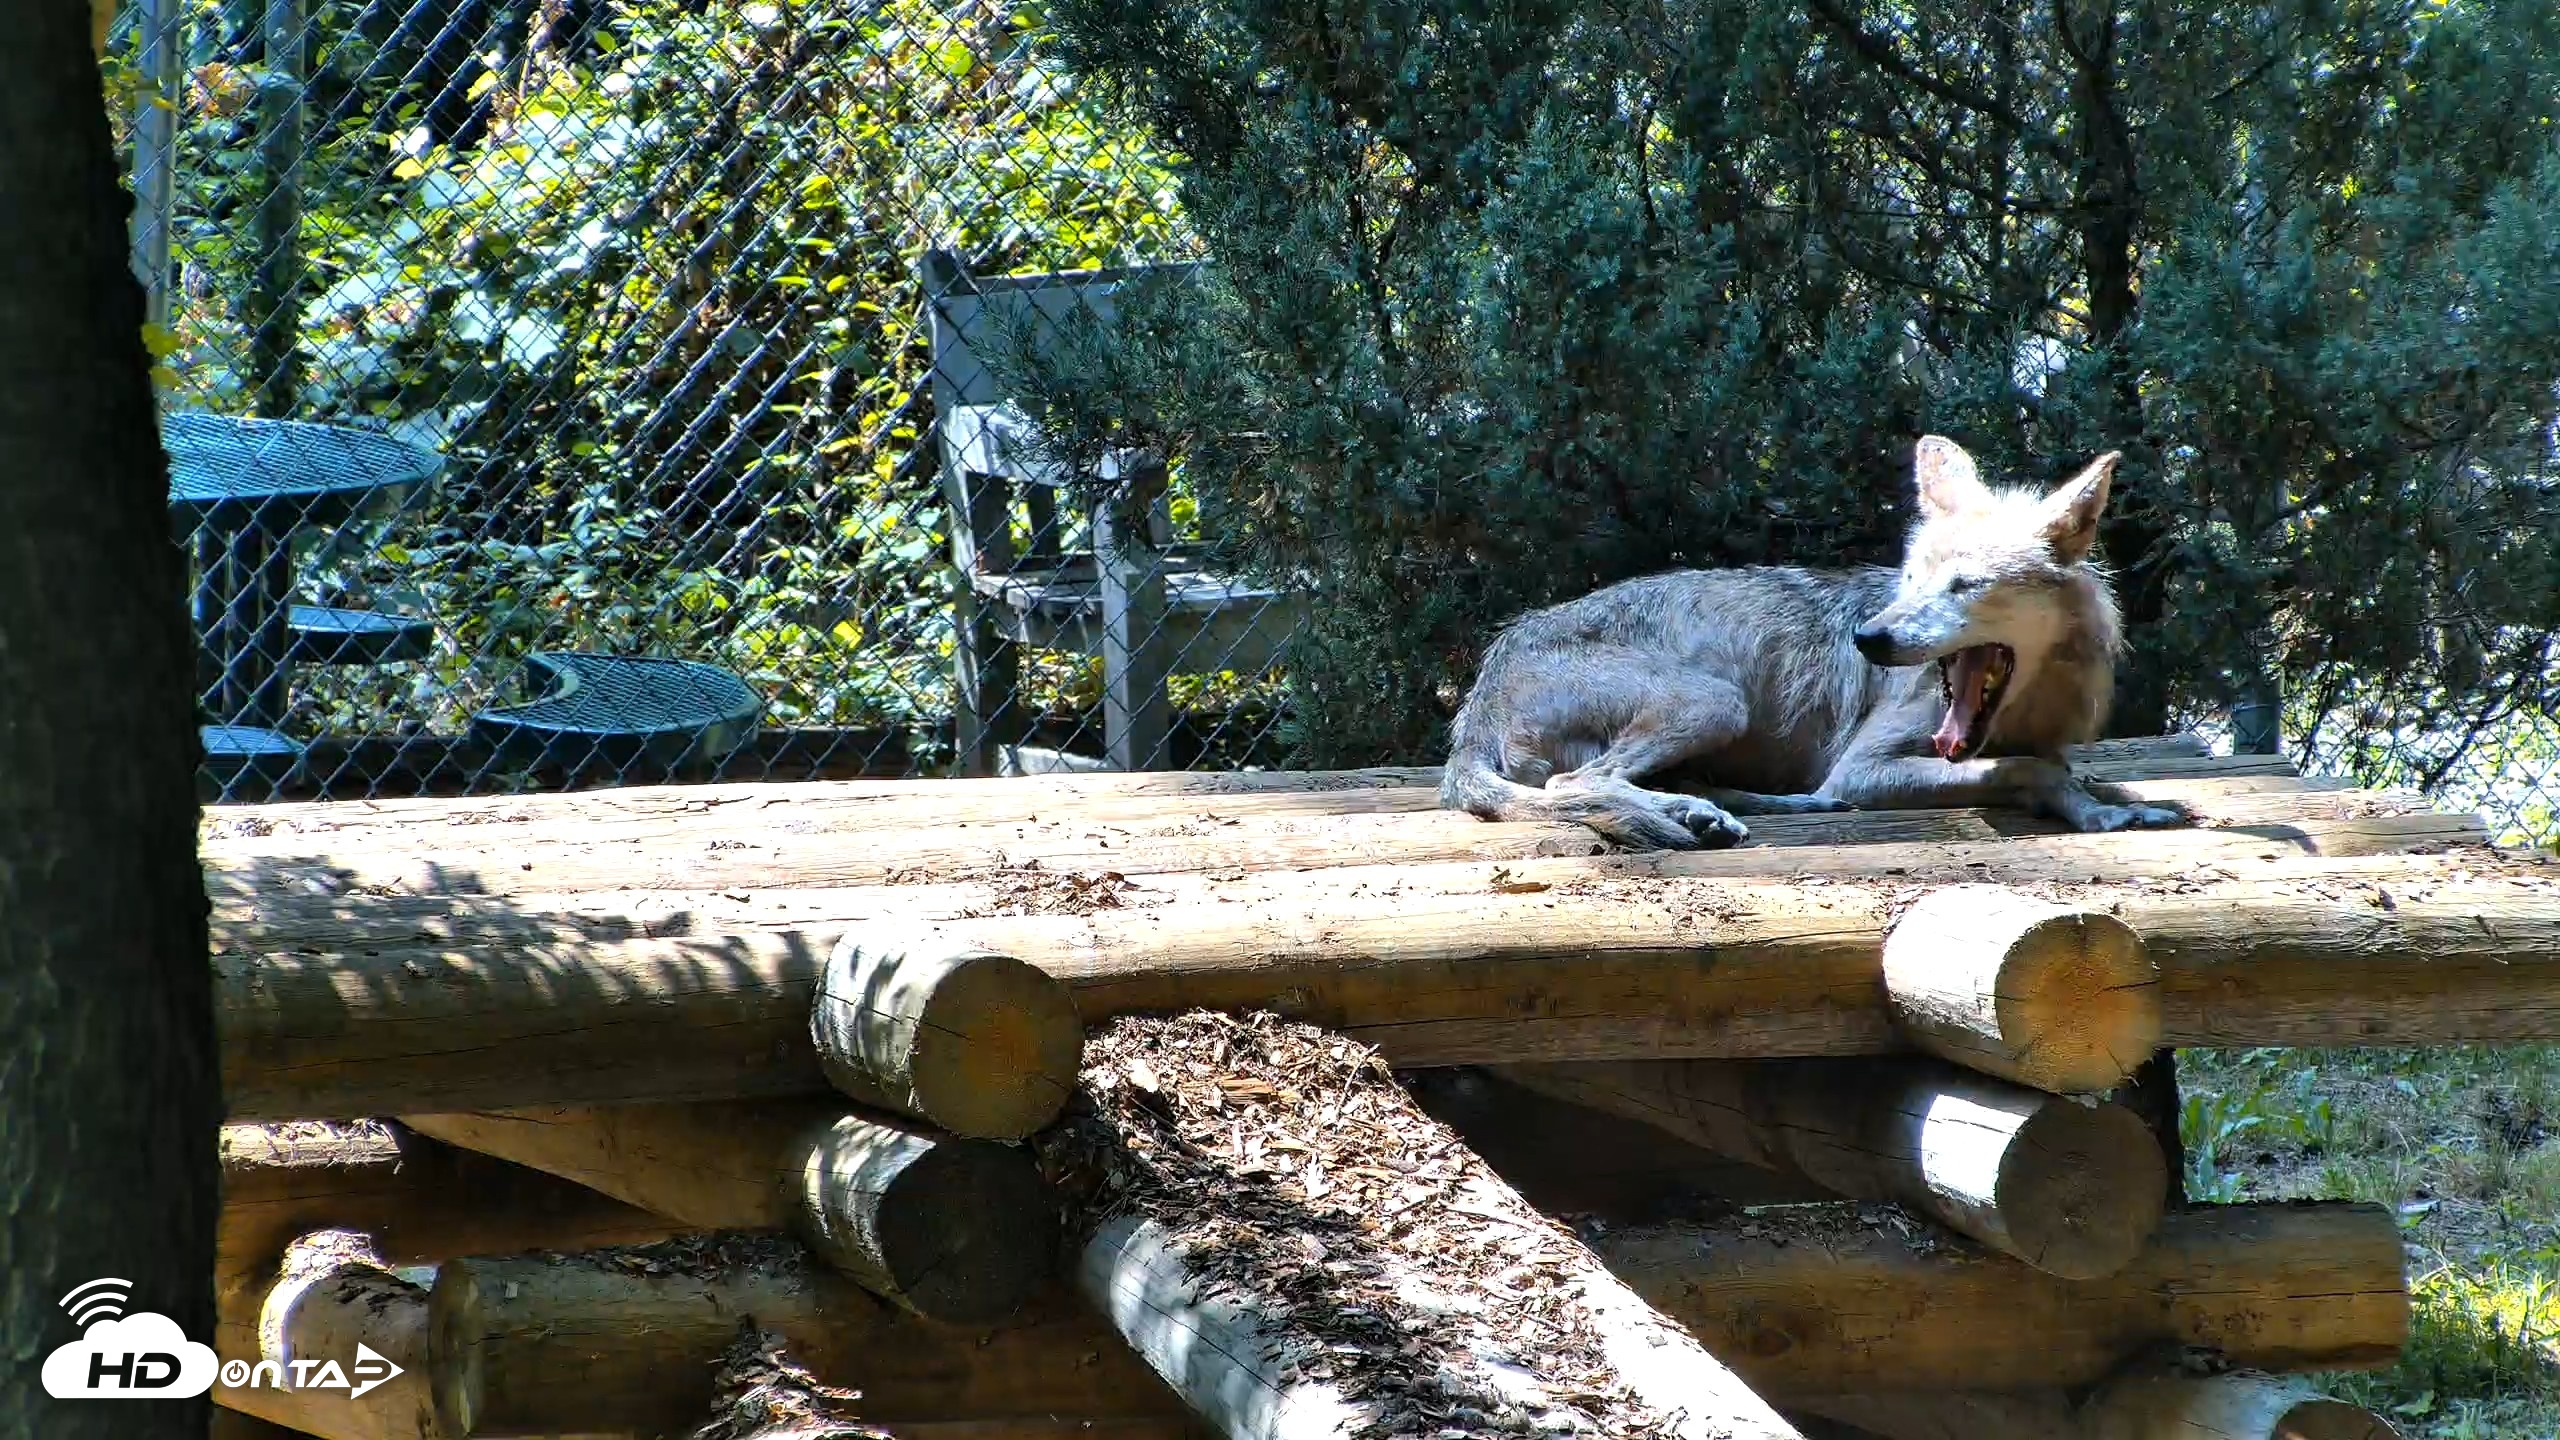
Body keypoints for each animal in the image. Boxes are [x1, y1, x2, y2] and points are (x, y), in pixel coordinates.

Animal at [1439, 436, 2191, 849]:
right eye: (1910, 580)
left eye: (1965, 586)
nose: (1870, 639)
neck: (2025, 706)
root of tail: (1477, 701)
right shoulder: (1863, 767)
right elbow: (2029, 770)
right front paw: (2095, 812)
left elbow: (2069, 770)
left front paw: (2120, 805)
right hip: (1715, 701)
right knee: (1579, 785)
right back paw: (1693, 816)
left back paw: (1732, 809)